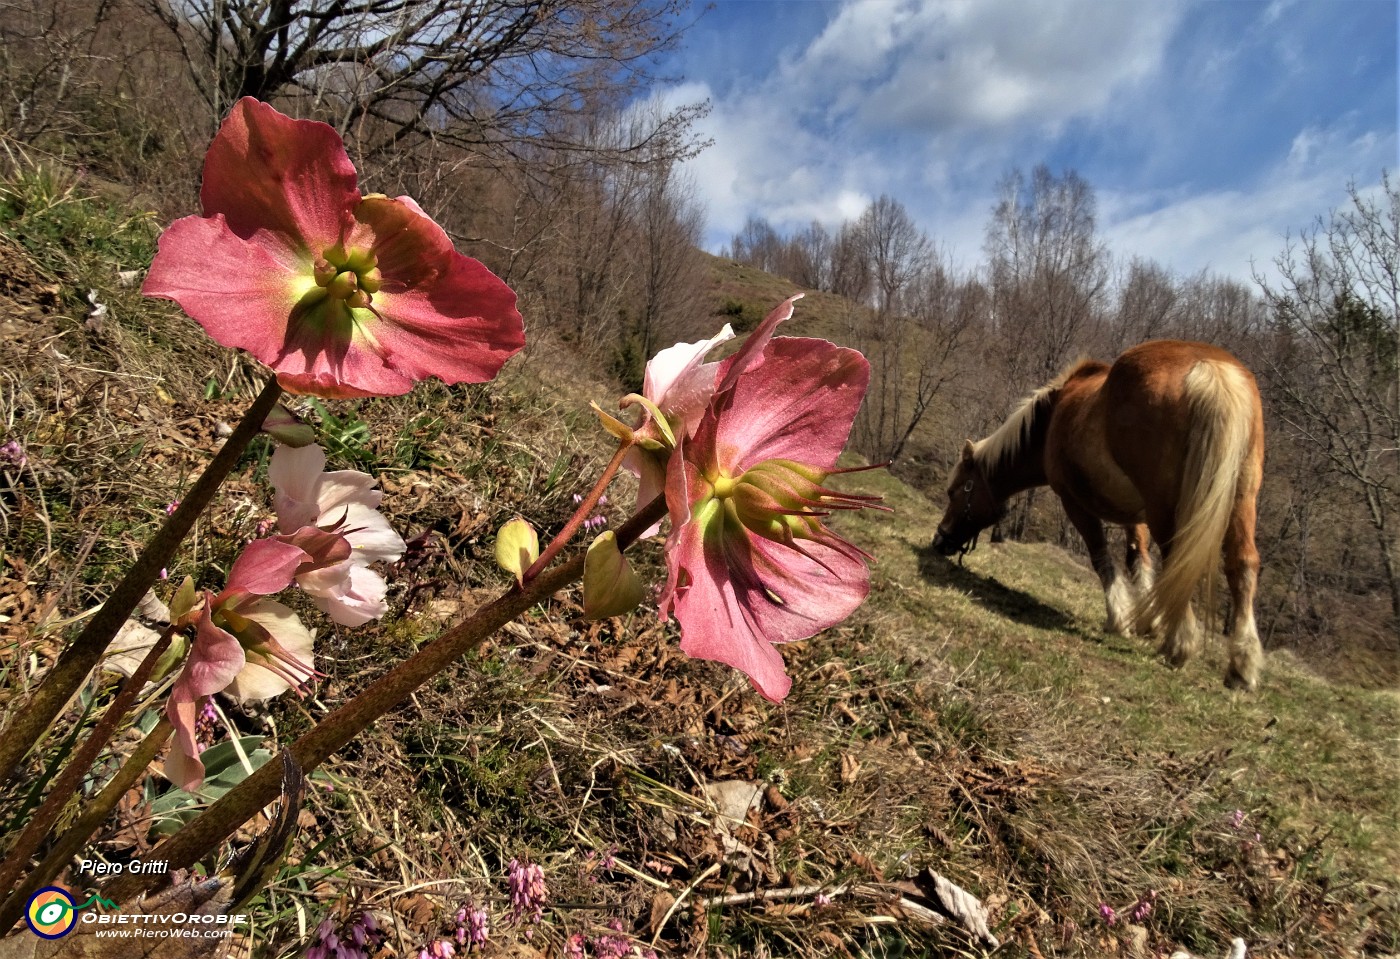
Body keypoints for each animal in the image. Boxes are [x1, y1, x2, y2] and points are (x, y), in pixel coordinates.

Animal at [929, 341, 1271, 688]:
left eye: (955, 491)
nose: (939, 541)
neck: (1052, 418)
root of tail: (1209, 368)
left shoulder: (1075, 503)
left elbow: (1101, 557)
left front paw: (1119, 618)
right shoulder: (1136, 515)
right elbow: (1138, 559)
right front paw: (1148, 621)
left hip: (1167, 509)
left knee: (1180, 560)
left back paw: (1180, 644)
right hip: (1241, 499)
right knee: (1242, 565)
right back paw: (1241, 664)